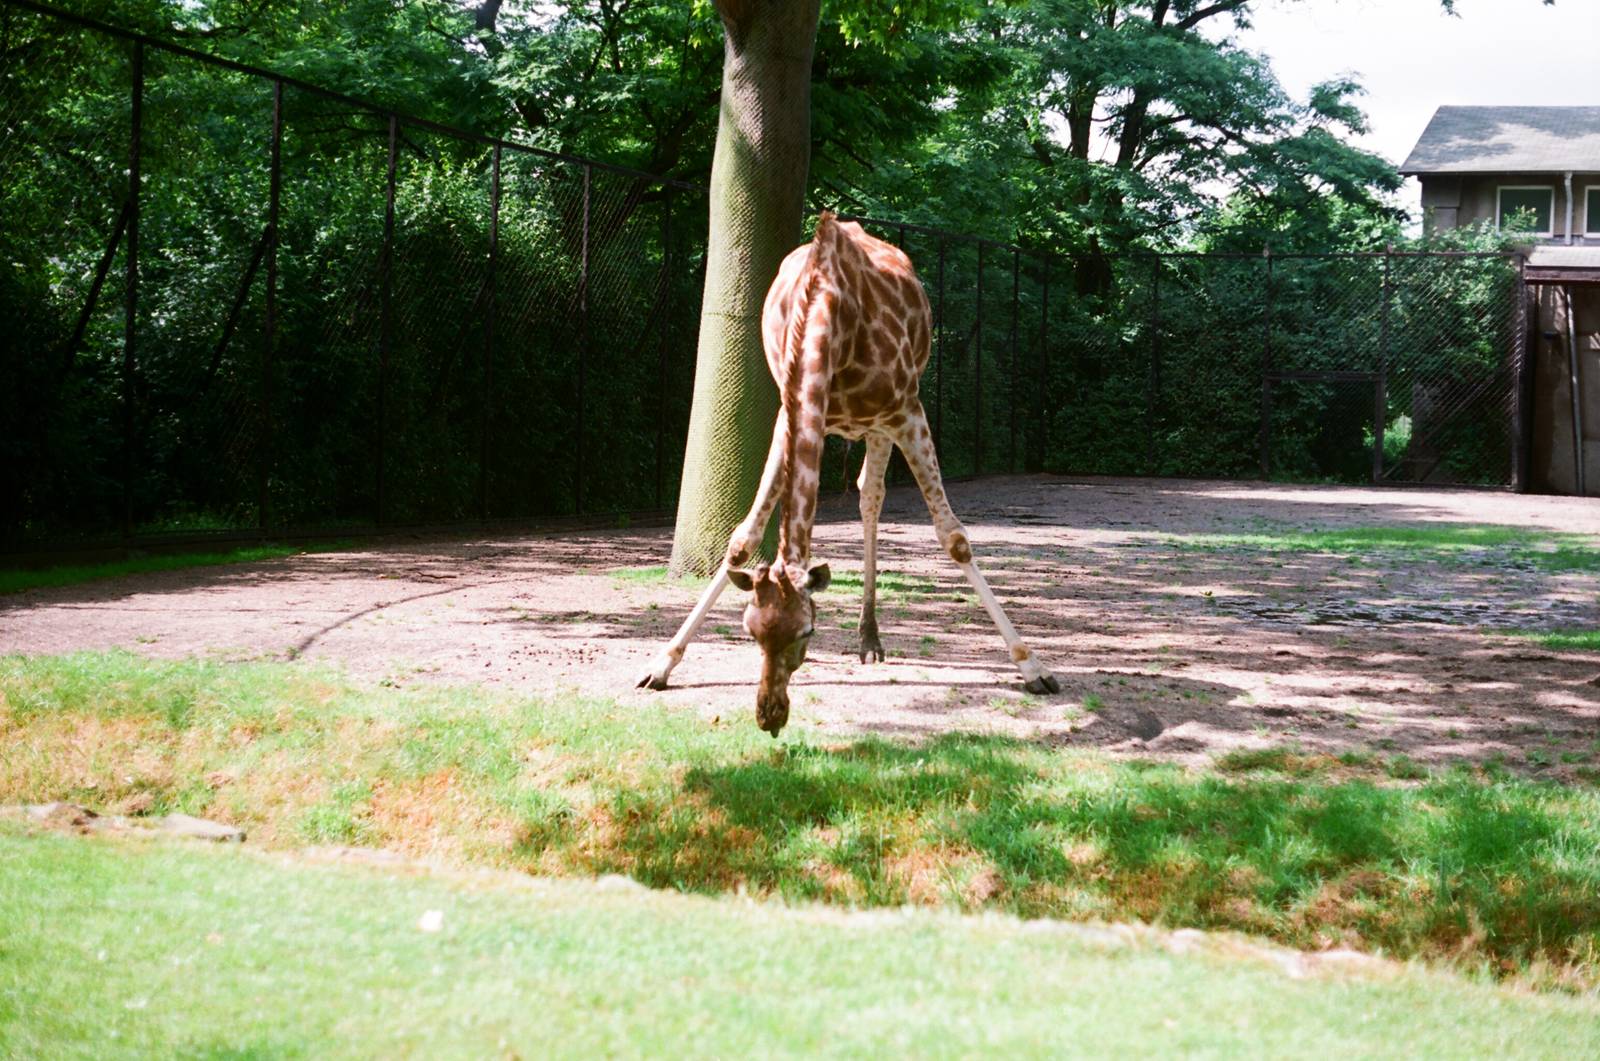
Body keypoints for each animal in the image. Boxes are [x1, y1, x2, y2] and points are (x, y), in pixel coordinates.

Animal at [637, 211, 1060, 735]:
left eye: (808, 630)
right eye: (750, 631)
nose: (770, 715)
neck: (828, 314)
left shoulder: (906, 411)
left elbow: (954, 538)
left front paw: (1033, 667)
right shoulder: (789, 413)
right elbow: (742, 538)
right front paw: (661, 664)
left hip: (884, 422)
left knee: (871, 496)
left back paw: (871, 639)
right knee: (866, 493)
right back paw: (867, 637)